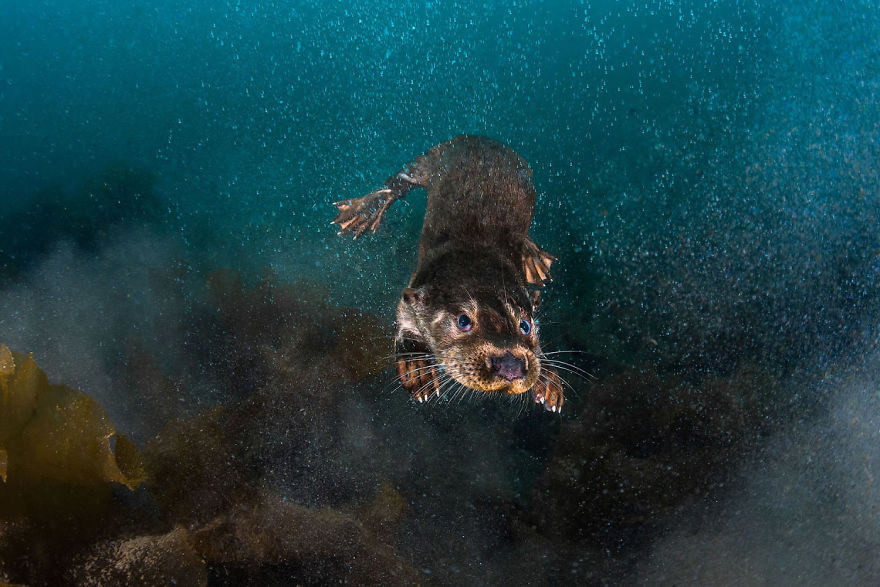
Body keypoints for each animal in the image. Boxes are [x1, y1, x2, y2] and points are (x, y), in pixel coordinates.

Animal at [332, 135, 564, 412]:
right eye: (463, 321)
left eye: (525, 325)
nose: (511, 366)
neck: (475, 255)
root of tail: (483, 139)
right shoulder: (412, 291)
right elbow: (404, 323)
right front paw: (417, 368)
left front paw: (548, 379)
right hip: (435, 157)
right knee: (401, 180)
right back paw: (364, 211)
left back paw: (533, 259)